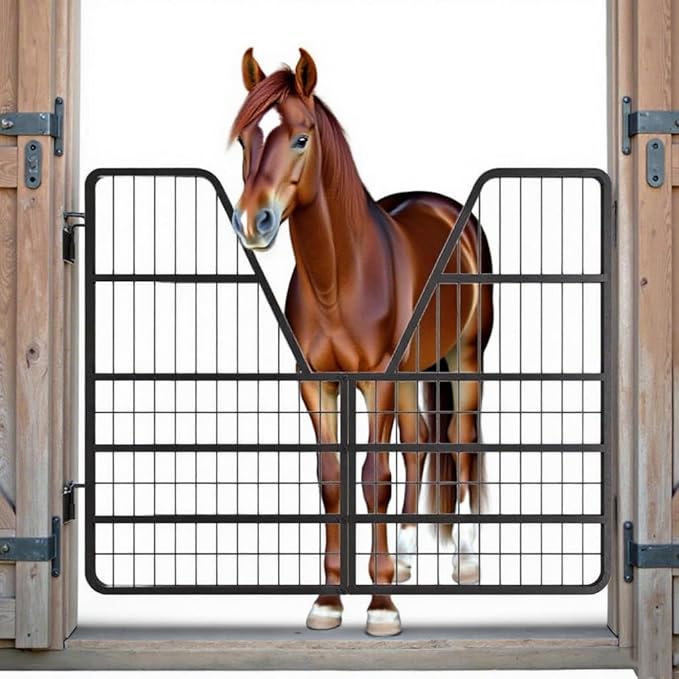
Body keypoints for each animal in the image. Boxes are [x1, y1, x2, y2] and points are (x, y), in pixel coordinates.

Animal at [229, 48, 494, 636]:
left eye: (301, 138)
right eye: (244, 140)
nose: (254, 222)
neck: (339, 278)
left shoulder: (377, 381)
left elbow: (375, 478)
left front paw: (381, 606)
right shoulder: (317, 385)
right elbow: (332, 480)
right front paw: (329, 601)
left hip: (464, 358)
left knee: (460, 440)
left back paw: (465, 562)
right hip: (415, 370)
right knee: (419, 442)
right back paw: (409, 556)